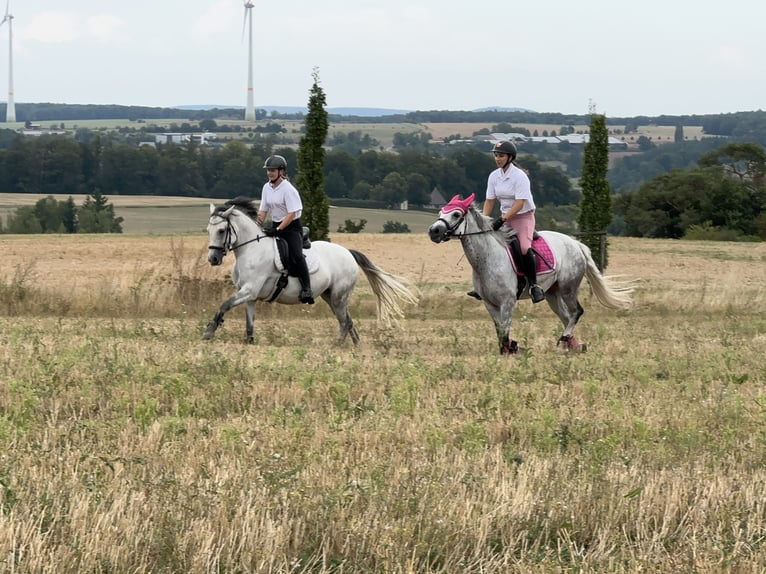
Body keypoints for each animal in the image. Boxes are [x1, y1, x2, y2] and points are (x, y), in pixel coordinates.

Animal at [204, 198, 420, 344]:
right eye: (208, 230)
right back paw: (357, 346)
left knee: (344, 322)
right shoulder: (250, 296)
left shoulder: (249, 290)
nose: (213, 259)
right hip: (330, 296)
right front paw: (249, 343)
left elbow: (224, 305)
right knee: (348, 320)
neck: (250, 250)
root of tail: (348, 253)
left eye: (221, 231)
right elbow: (249, 324)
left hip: (338, 296)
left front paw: (209, 331)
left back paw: (337, 346)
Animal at [426, 196, 636, 354]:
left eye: (456, 214)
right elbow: (499, 330)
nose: (433, 231)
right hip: (552, 293)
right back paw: (571, 346)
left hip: (568, 288)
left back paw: (565, 339)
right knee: (566, 316)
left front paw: (509, 350)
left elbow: (505, 331)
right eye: (440, 213)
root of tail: (577, 244)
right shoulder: (489, 303)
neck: (487, 258)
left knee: (576, 312)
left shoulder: (508, 301)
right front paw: (512, 348)